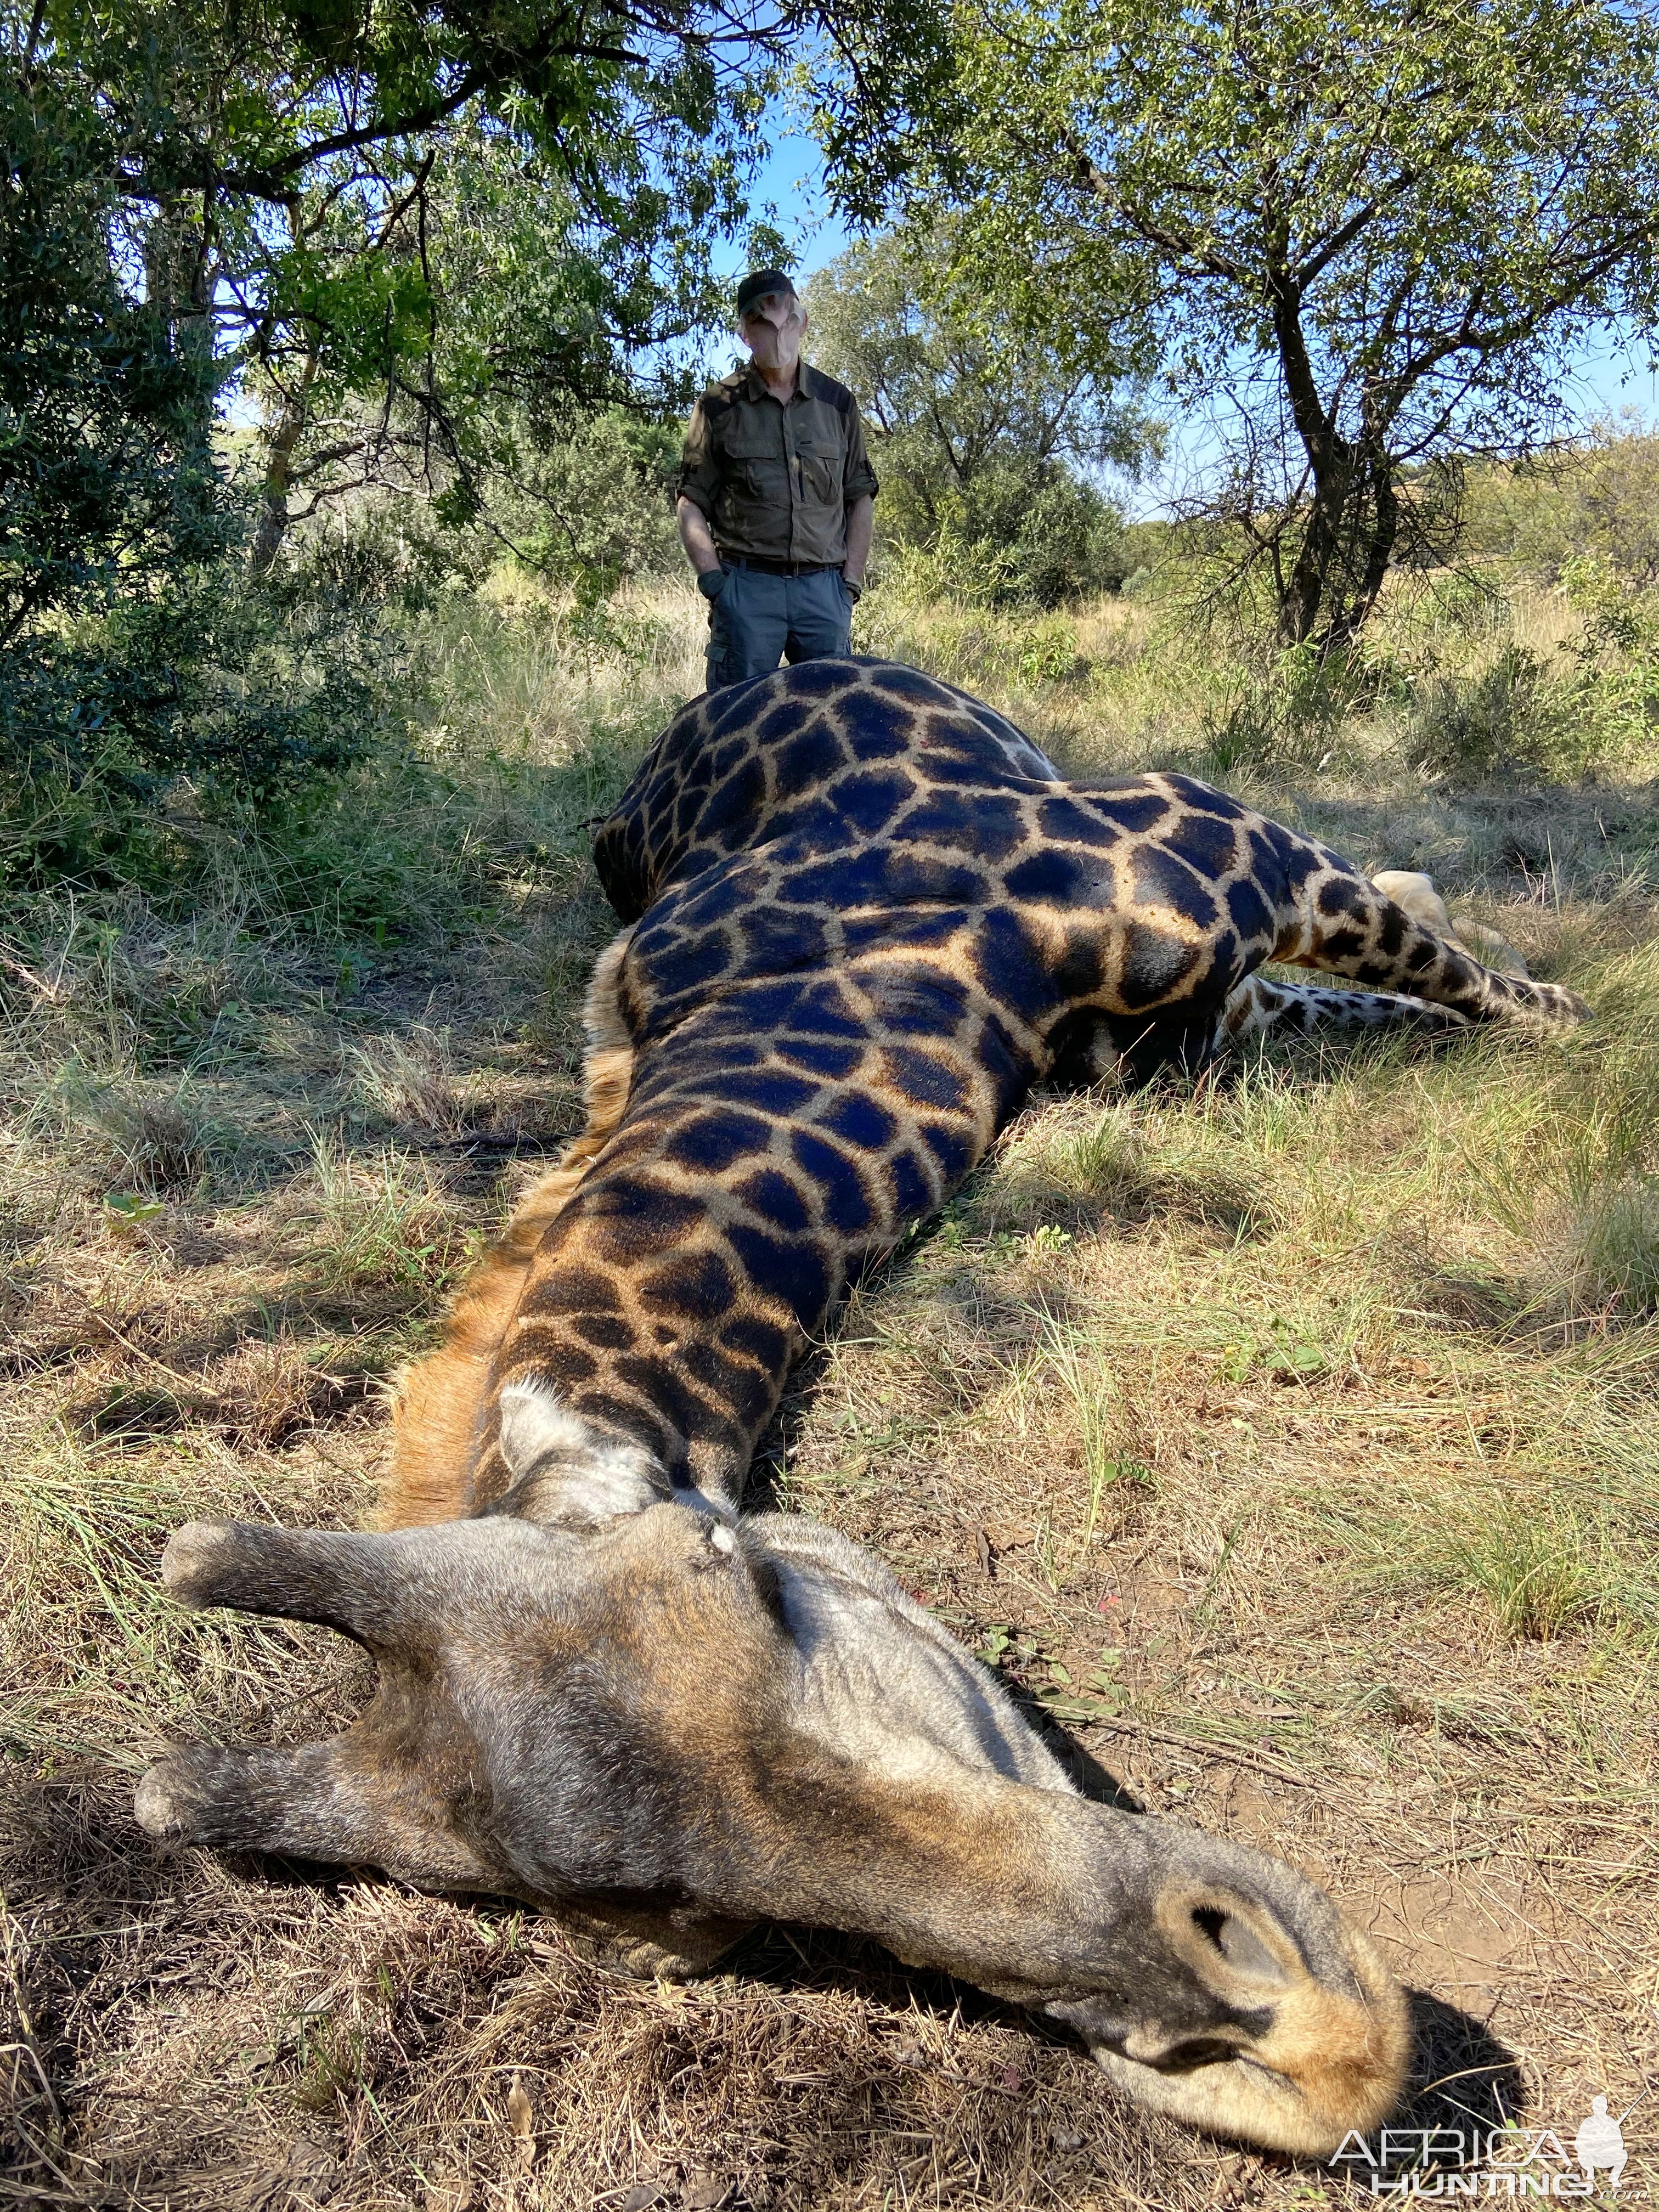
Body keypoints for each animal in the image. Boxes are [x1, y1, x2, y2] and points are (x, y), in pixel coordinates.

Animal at [140, 663, 1583, 2150]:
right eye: (685, 1933)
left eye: (752, 1585)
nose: (1312, 2049)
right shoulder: (1207, 976)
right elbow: (1393, 995)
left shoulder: (1224, 840)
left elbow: (1484, 990)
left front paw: (1580, 1016)